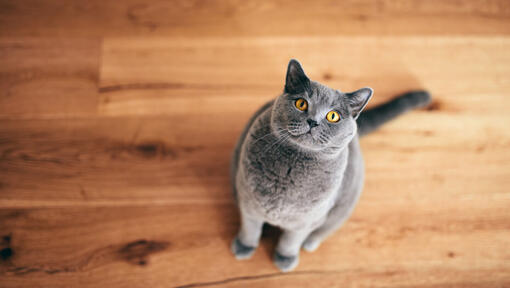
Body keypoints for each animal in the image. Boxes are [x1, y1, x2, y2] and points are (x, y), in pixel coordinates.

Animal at [231, 59, 430, 272]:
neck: (293, 167)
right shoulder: (248, 201)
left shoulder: (307, 219)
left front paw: (285, 258)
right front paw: (244, 247)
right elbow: (250, 227)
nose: (313, 121)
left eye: (333, 116)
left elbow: (291, 239)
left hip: (345, 203)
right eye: (301, 103)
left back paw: (309, 243)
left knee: (324, 230)